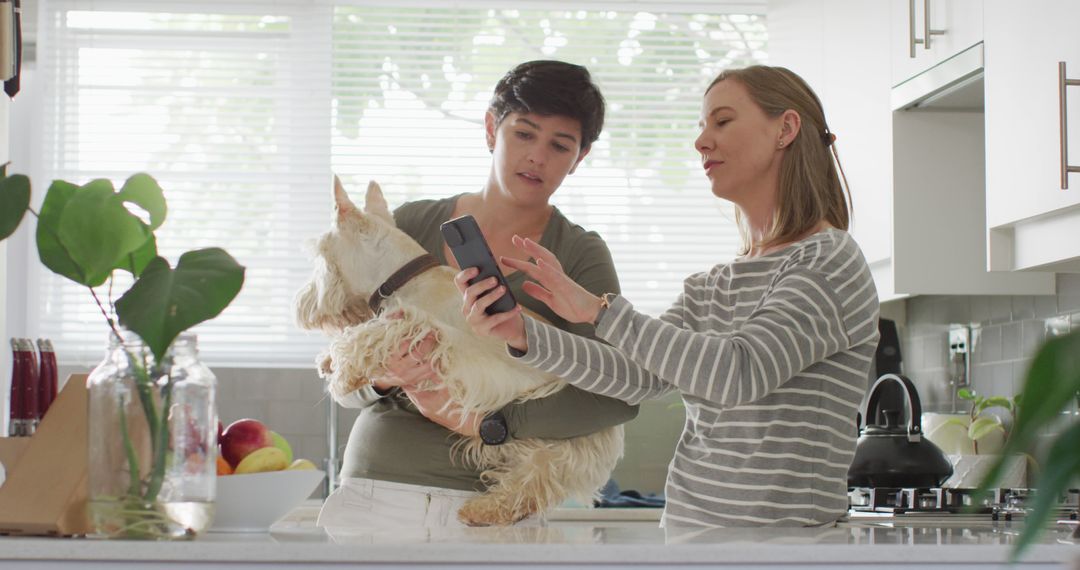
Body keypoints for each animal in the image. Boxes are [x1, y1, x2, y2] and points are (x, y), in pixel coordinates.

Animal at [295, 177, 626, 524]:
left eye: (318, 257)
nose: (301, 306)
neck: (402, 276)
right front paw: (329, 360)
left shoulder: (423, 328)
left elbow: (368, 336)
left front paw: (344, 373)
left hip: (554, 445)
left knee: (532, 482)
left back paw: (483, 509)